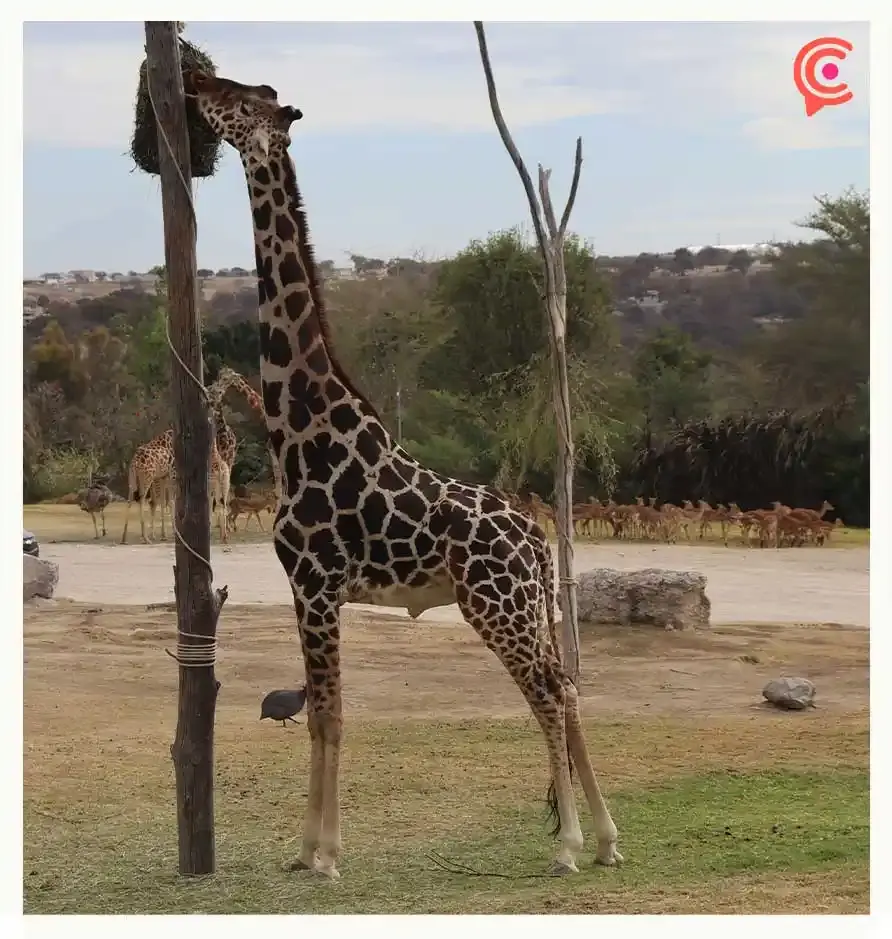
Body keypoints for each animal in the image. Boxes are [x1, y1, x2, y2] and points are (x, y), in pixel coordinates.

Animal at [185, 70, 621, 880]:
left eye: (240, 99)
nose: (195, 81)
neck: (300, 430)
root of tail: (538, 541)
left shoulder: (316, 583)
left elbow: (330, 713)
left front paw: (324, 853)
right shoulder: (309, 589)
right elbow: (320, 714)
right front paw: (307, 849)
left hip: (498, 607)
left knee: (548, 694)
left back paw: (571, 843)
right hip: (525, 608)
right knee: (569, 685)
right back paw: (607, 836)